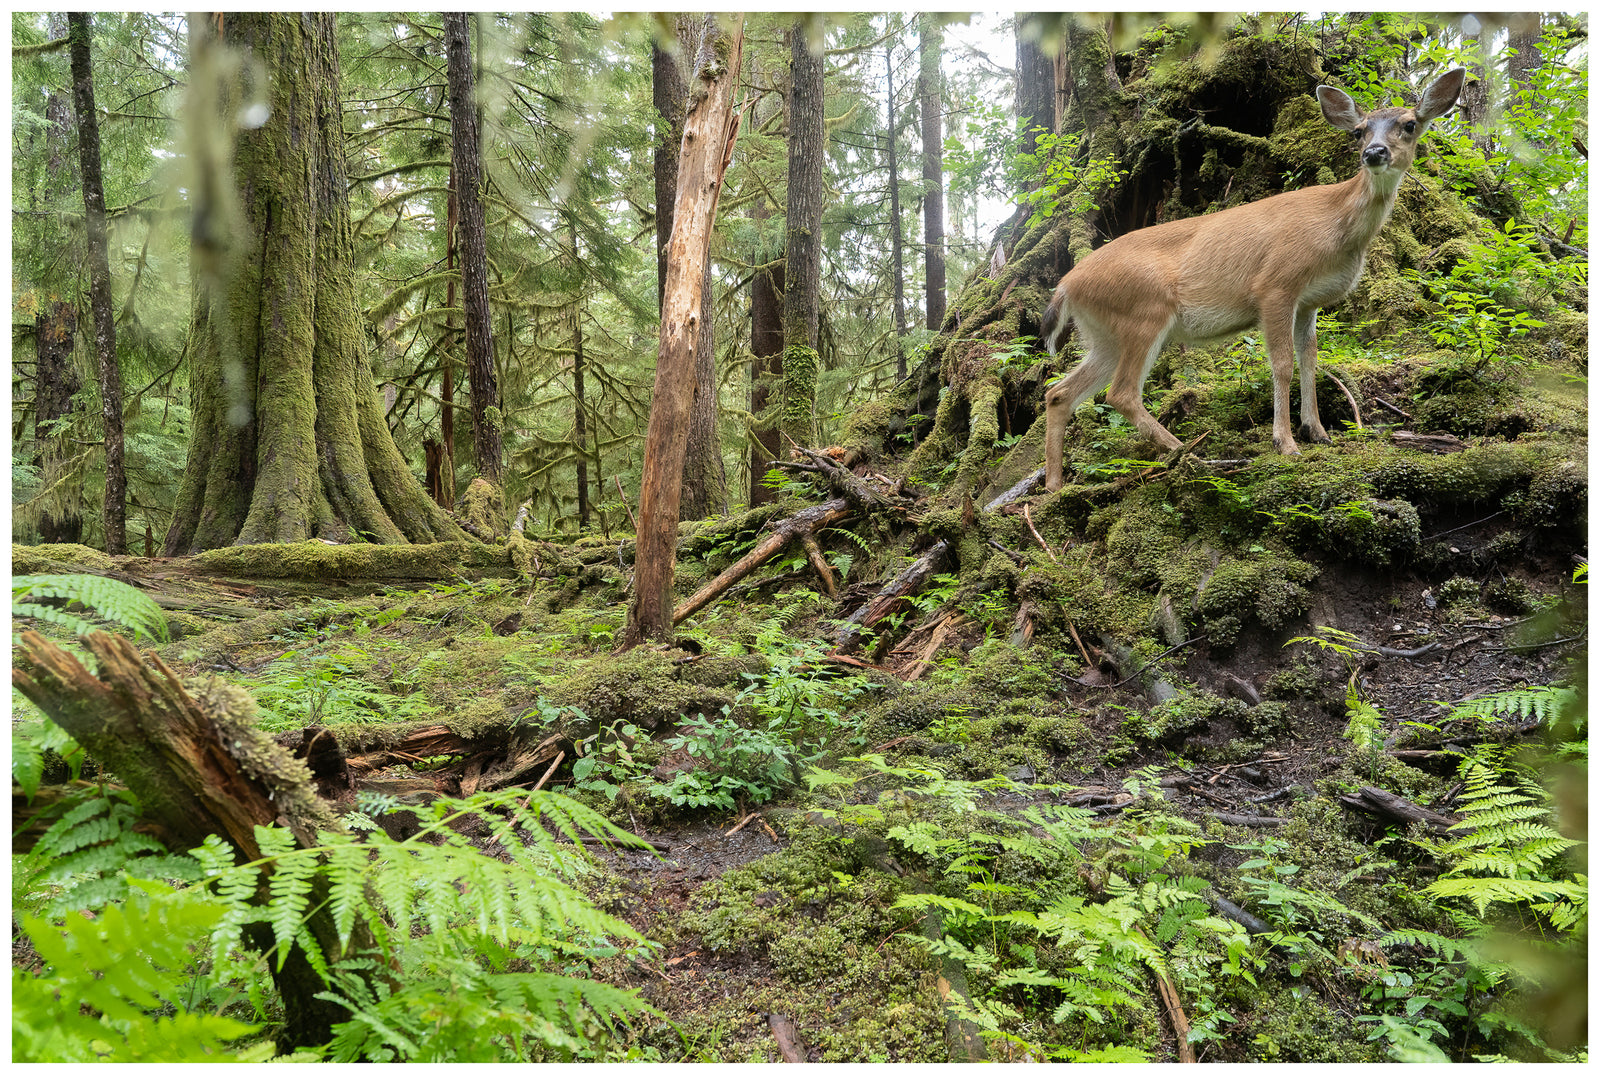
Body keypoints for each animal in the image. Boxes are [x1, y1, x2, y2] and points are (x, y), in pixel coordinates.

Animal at [1040, 68, 1465, 492]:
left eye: (1409, 125)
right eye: (1359, 131)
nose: (1374, 153)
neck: (1335, 226)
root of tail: (1066, 285)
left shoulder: (1309, 301)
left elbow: (1310, 357)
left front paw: (1317, 431)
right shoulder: (1276, 284)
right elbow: (1281, 362)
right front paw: (1286, 442)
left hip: (1104, 333)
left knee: (1059, 393)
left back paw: (1054, 486)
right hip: (1144, 312)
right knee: (1121, 394)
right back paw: (1191, 454)